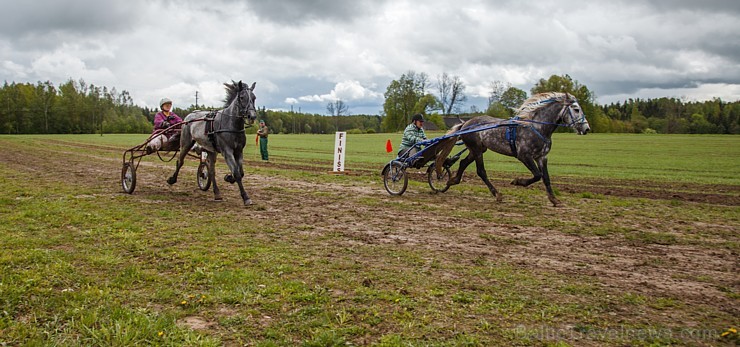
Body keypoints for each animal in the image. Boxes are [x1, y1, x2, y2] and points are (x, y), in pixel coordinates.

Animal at [434, 92, 588, 207]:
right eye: (576, 109)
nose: (586, 128)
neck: (537, 127)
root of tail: (466, 123)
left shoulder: (542, 157)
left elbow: (546, 178)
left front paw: (554, 199)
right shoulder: (524, 155)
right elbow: (537, 175)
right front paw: (518, 181)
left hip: (477, 149)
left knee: (463, 163)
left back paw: (453, 180)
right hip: (476, 150)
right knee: (481, 171)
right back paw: (497, 194)